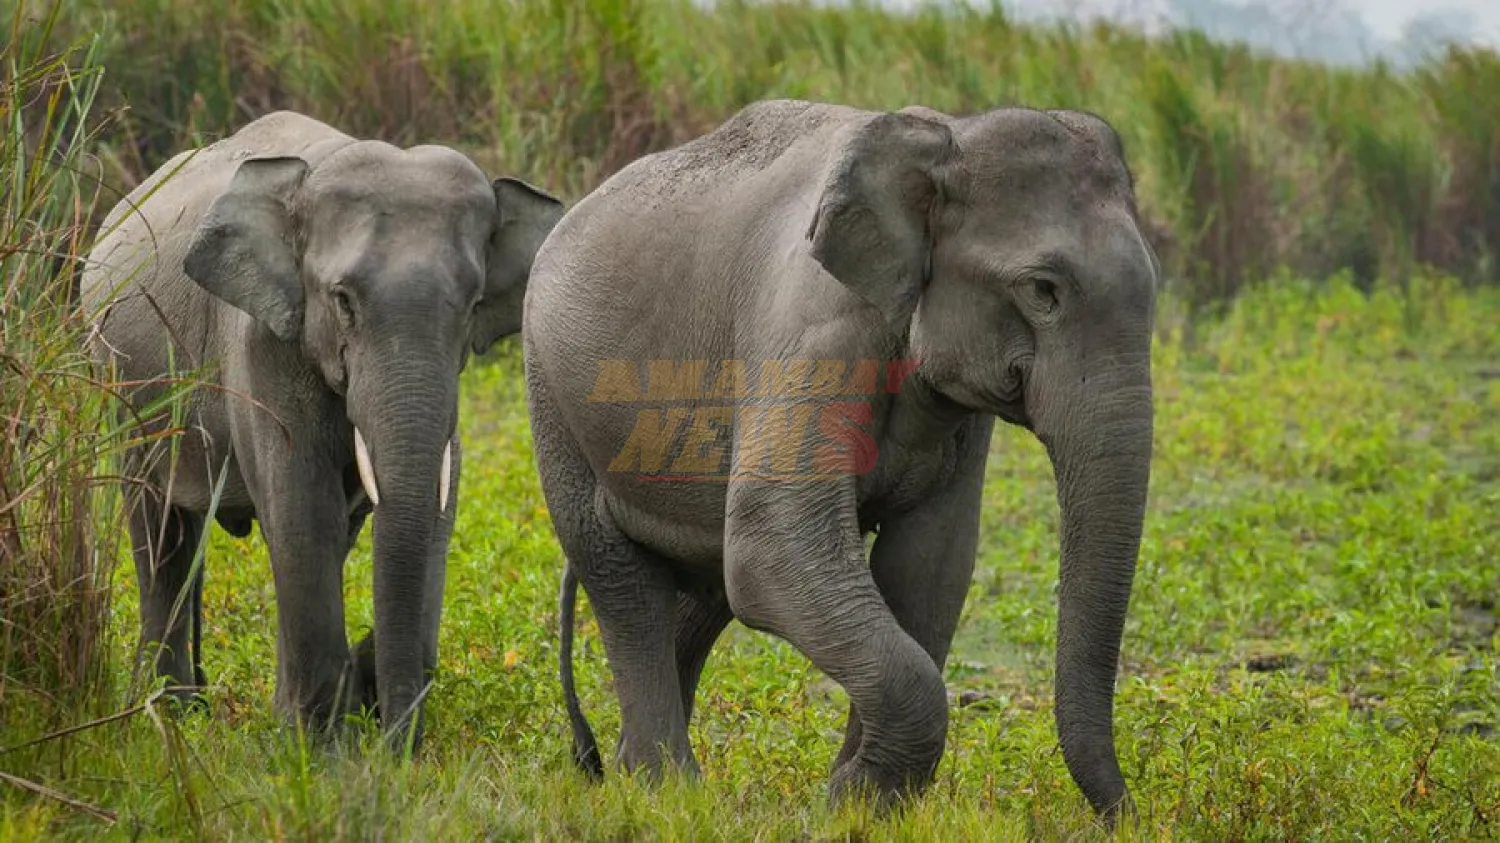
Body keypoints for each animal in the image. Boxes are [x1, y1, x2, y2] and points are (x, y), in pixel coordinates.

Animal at [80, 110, 564, 747]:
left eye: (472, 303)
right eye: (342, 300)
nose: (396, 744)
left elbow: (411, 506)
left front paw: (320, 721)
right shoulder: (260, 341)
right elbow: (303, 510)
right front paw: (320, 745)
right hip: (119, 382)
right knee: (161, 533)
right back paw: (174, 714)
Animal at [526, 99, 1159, 820]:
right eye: (1043, 289)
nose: (1129, 816)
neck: (945, 137)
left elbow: (929, 564)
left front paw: (859, 801)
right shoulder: (813, 330)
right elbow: (773, 546)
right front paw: (852, 797)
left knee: (705, 587)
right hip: (553, 394)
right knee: (621, 576)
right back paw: (664, 788)